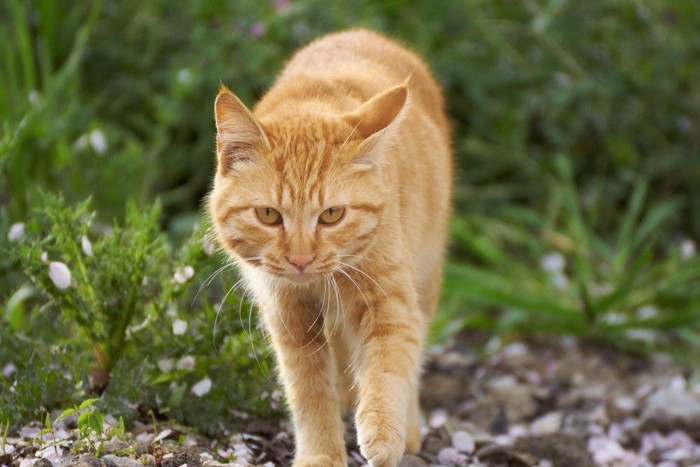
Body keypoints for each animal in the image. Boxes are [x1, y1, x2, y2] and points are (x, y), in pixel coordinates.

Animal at [208, 30, 452, 467]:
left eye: (332, 215)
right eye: (269, 215)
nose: (301, 259)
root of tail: (363, 33)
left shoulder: (390, 303)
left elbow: (389, 367)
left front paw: (382, 432)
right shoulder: (288, 317)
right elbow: (310, 393)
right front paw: (321, 454)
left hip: (425, 277)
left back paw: (406, 428)